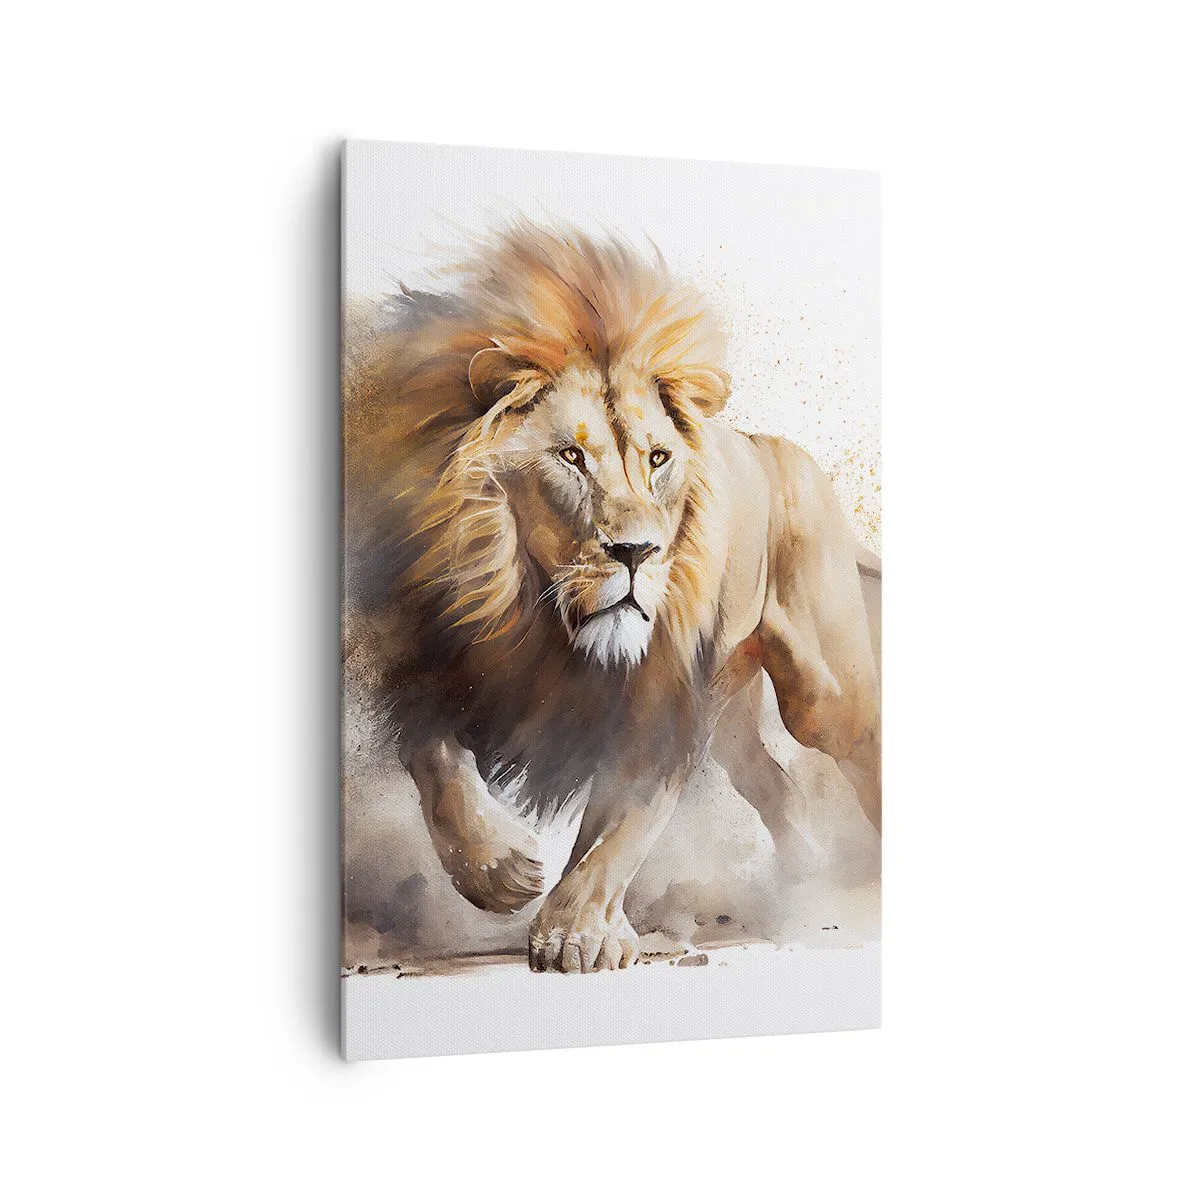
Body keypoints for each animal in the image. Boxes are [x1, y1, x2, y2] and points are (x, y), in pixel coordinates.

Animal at [344, 220, 880, 973]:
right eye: (571, 457)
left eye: (657, 459)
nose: (637, 552)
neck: (537, 618)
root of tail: (772, 447)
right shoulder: (427, 657)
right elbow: (435, 763)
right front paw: (500, 872)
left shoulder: (657, 704)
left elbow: (620, 825)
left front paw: (578, 932)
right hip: (732, 717)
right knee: (776, 783)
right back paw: (804, 877)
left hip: (824, 697)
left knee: (859, 738)